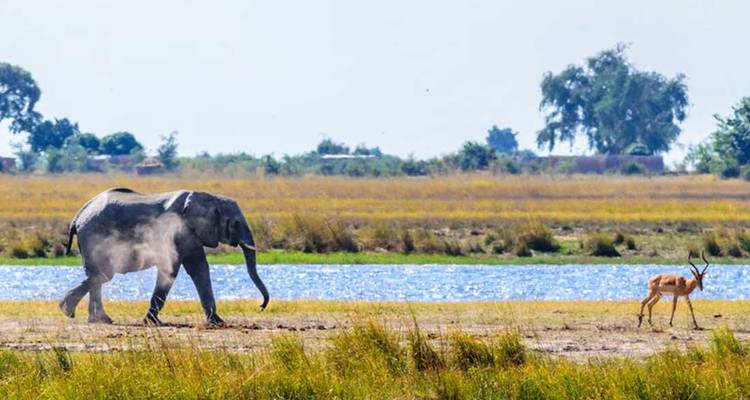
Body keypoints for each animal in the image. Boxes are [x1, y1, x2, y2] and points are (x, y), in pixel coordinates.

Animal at [59, 188, 269, 326]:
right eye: (235, 224)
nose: (260, 306)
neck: (209, 197)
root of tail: (79, 215)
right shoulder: (176, 231)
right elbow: (171, 269)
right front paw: (151, 322)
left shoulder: (191, 234)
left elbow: (200, 269)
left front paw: (217, 322)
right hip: (94, 235)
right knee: (102, 274)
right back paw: (68, 310)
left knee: (98, 275)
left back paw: (99, 319)